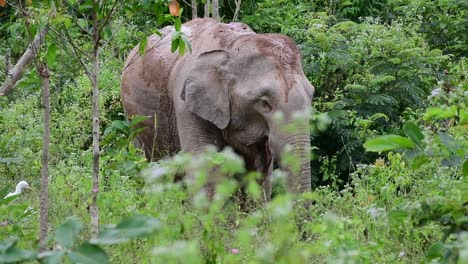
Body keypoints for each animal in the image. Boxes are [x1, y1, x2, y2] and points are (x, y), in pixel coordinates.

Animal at [122, 18, 316, 198]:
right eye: (264, 103)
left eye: (311, 95)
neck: (232, 46)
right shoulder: (186, 105)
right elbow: (206, 166)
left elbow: (257, 172)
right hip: (134, 120)